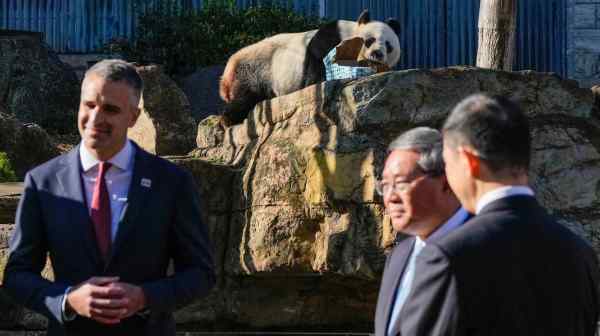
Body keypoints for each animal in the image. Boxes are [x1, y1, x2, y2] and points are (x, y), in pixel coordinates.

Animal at [218, 10, 400, 124]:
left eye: (389, 46)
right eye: (369, 40)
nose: (377, 54)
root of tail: (225, 78)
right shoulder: (332, 36)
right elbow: (317, 62)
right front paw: (315, 82)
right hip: (253, 69)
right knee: (246, 94)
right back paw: (228, 118)